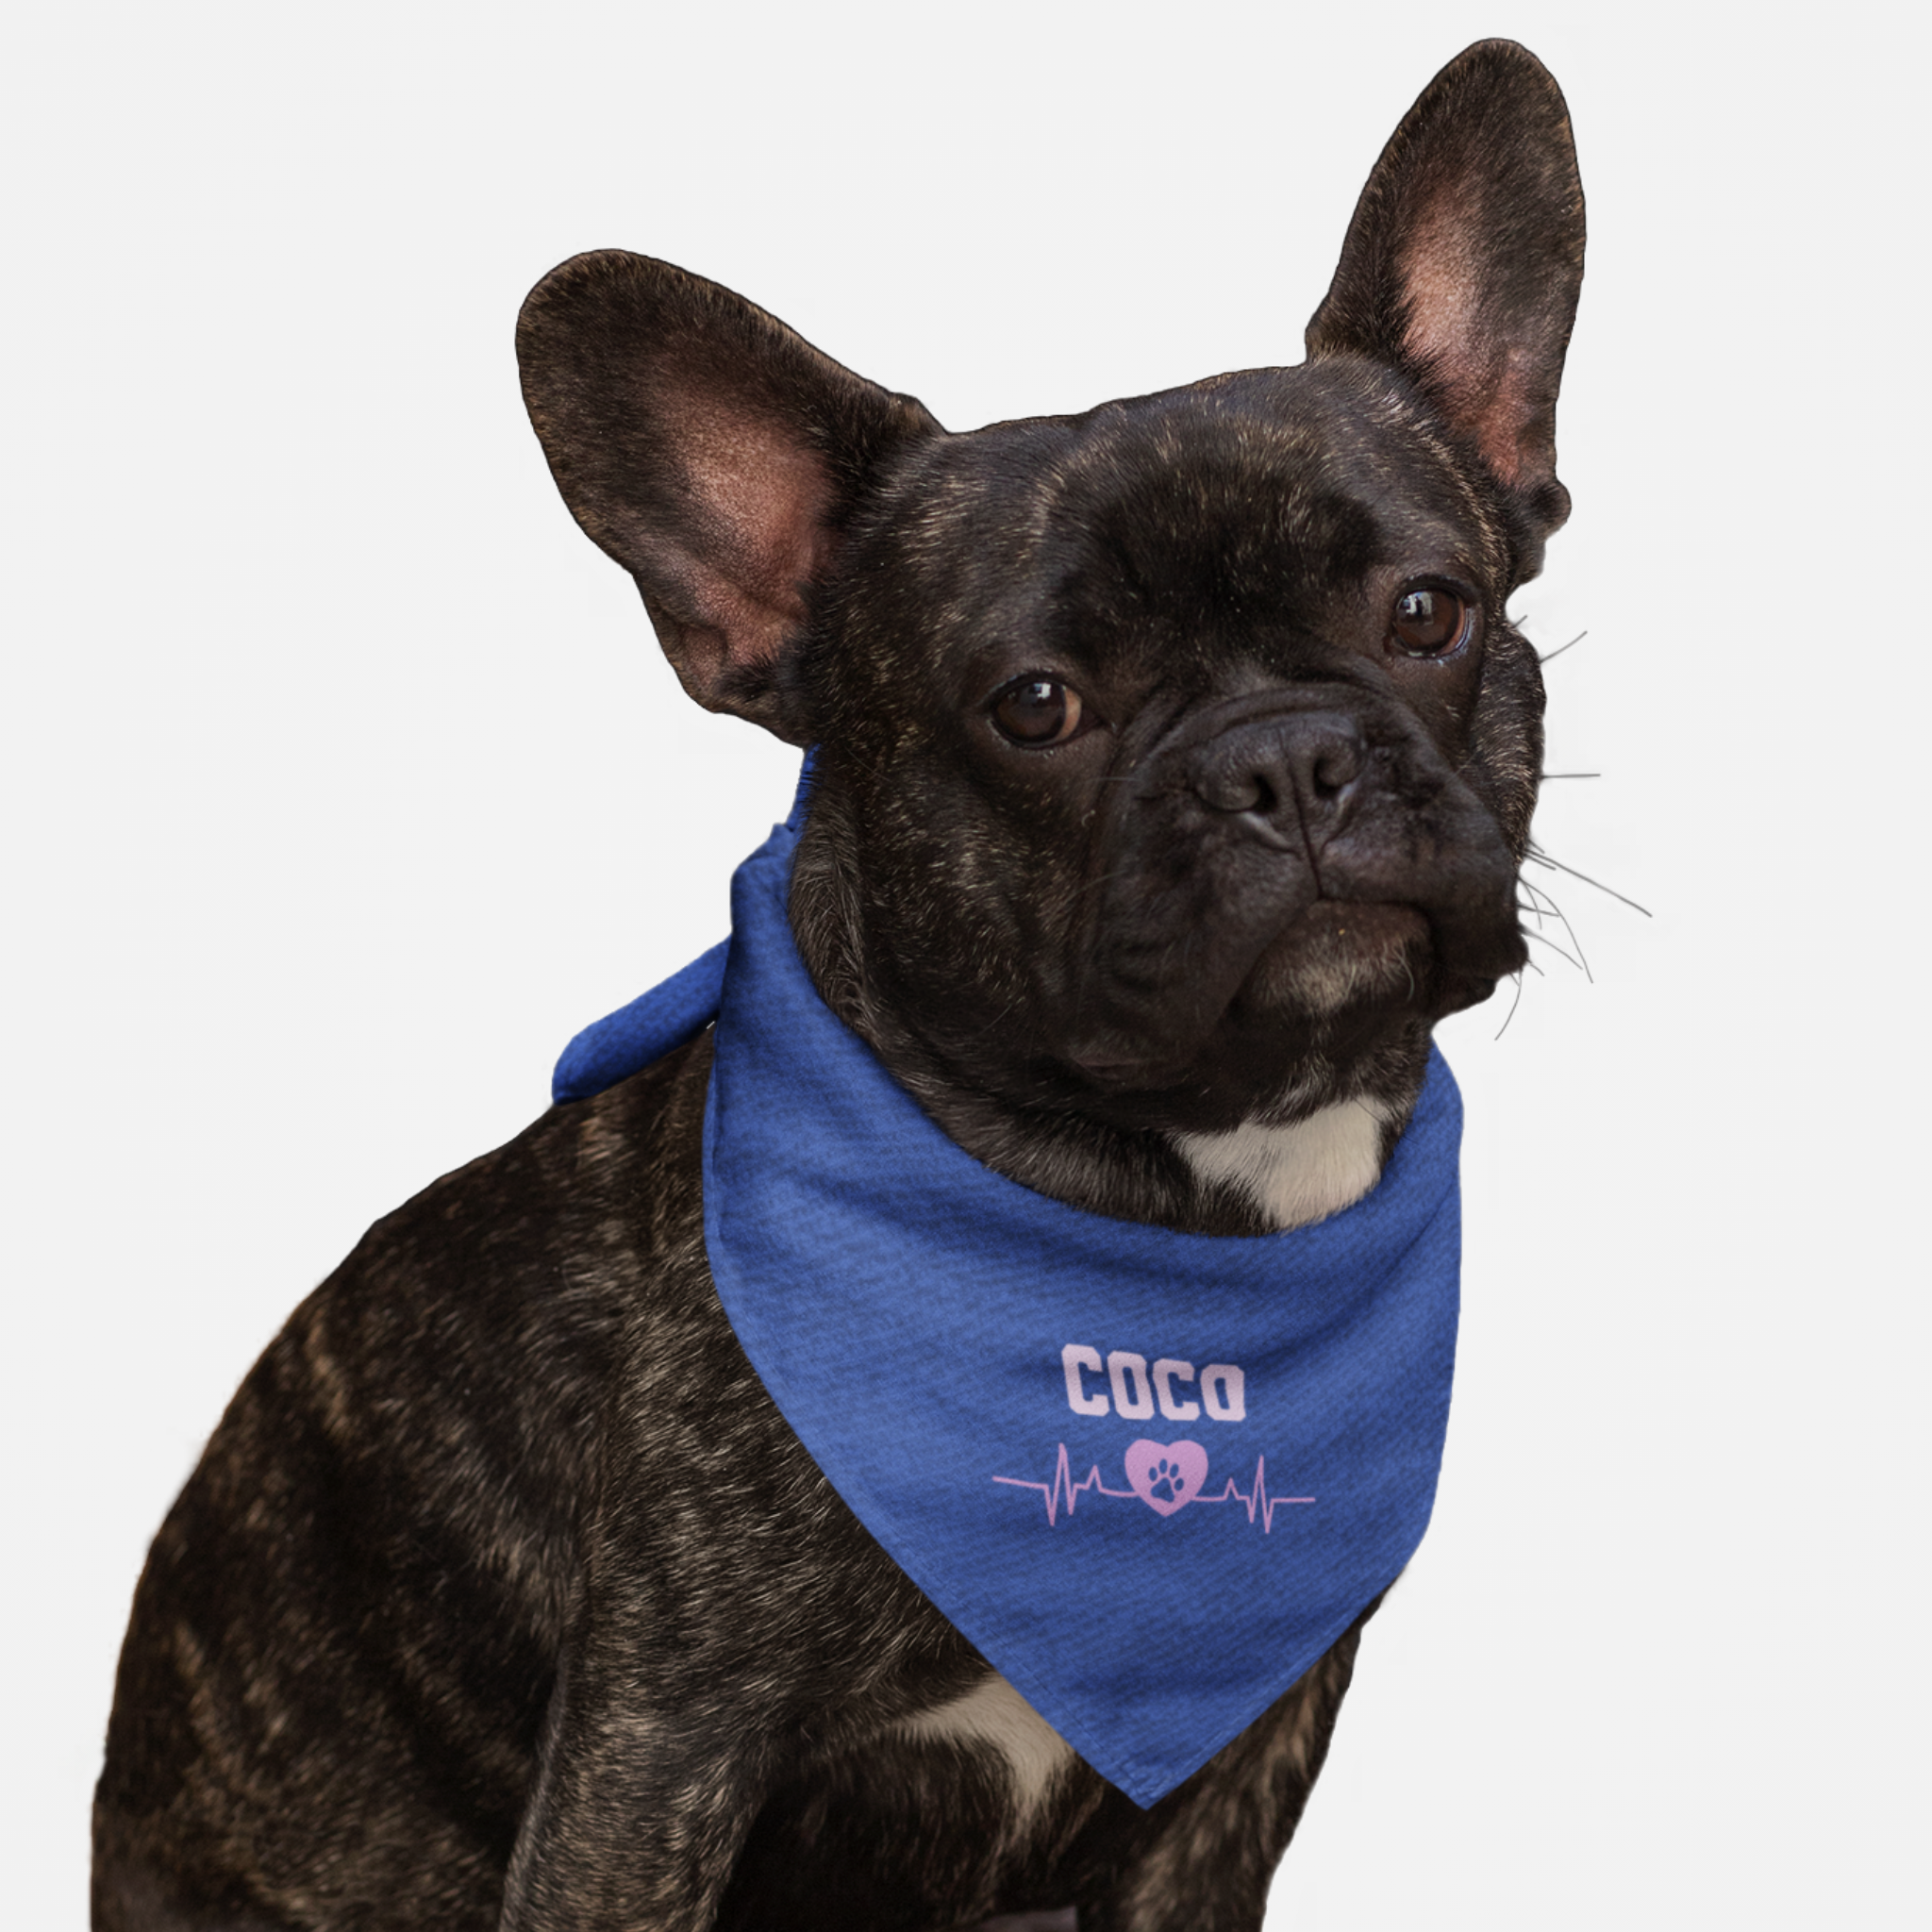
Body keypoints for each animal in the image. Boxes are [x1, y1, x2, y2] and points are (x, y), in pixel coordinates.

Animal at [93, 34, 1584, 1932]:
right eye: (1035, 706)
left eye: (1426, 610)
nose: (1286, 760)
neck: (1162, 1221)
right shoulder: (656, 1750)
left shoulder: (1235, 1770)